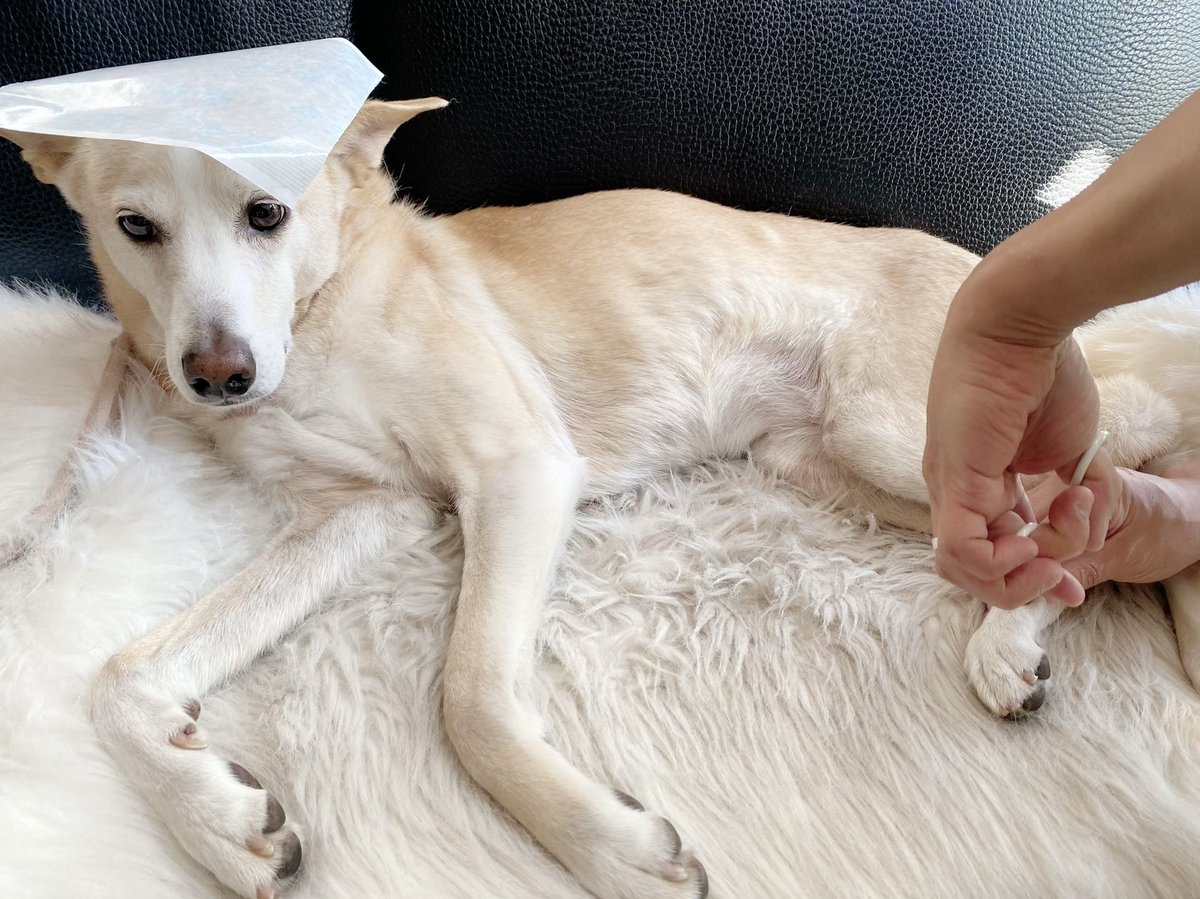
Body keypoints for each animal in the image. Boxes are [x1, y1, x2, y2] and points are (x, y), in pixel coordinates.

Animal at [4, 98, 1198, 899]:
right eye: (136, 227)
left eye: (267, 212)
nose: (219, 376)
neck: (323, 303)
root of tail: (974, 258)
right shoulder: (360, 512)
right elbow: (121, 673)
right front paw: (214, 818)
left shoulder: (517, 468)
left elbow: (472, 700)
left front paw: (609, 848)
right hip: (831, 466)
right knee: (1054, 532)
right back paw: (1019, 632)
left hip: (899, 423)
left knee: (1120, 444)